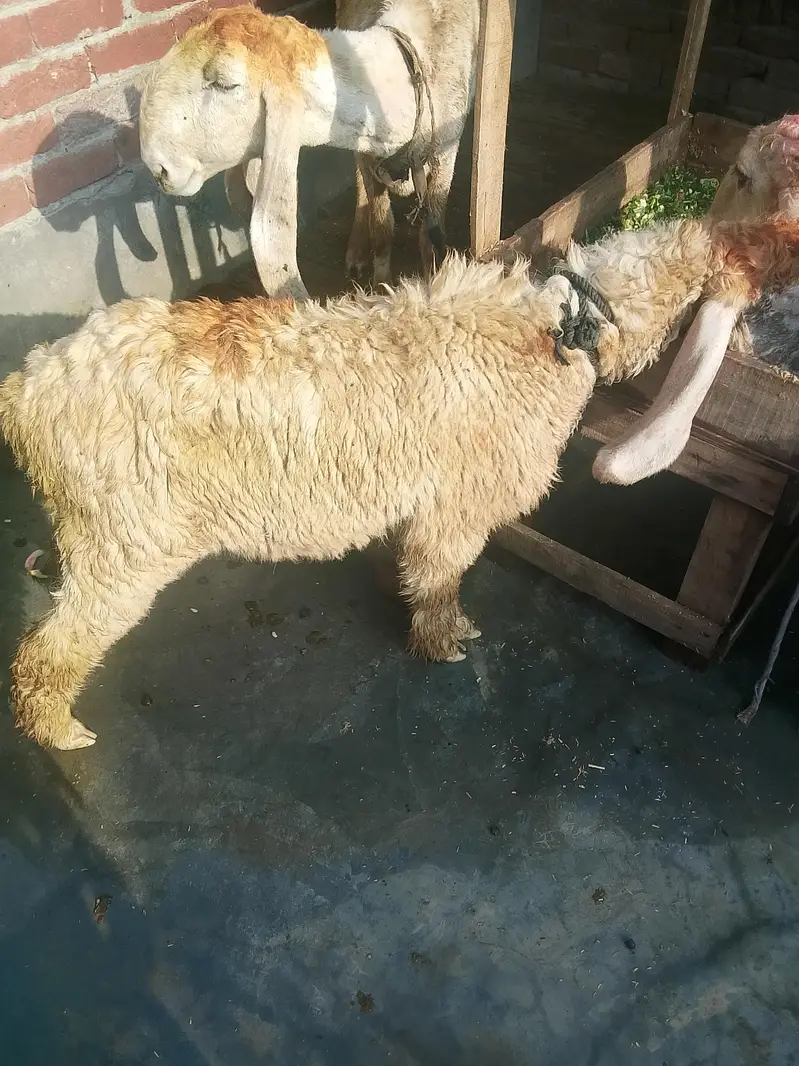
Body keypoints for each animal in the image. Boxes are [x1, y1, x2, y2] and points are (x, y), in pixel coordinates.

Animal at [3, 216, 799, 752]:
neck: (559, 323)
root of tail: (29, 389)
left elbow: (417, 566)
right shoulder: (459, 504)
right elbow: (442, 577)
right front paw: (443, 640)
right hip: (124, 547)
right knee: (48, 650)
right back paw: (58, 731)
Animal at [139, 2, 480, 300]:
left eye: (225, 83)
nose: (158, 168)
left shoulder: (446, 151)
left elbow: (429, 238)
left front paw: (436, 283)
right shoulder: (368, 152)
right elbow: (381, 226)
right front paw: (381, 286)